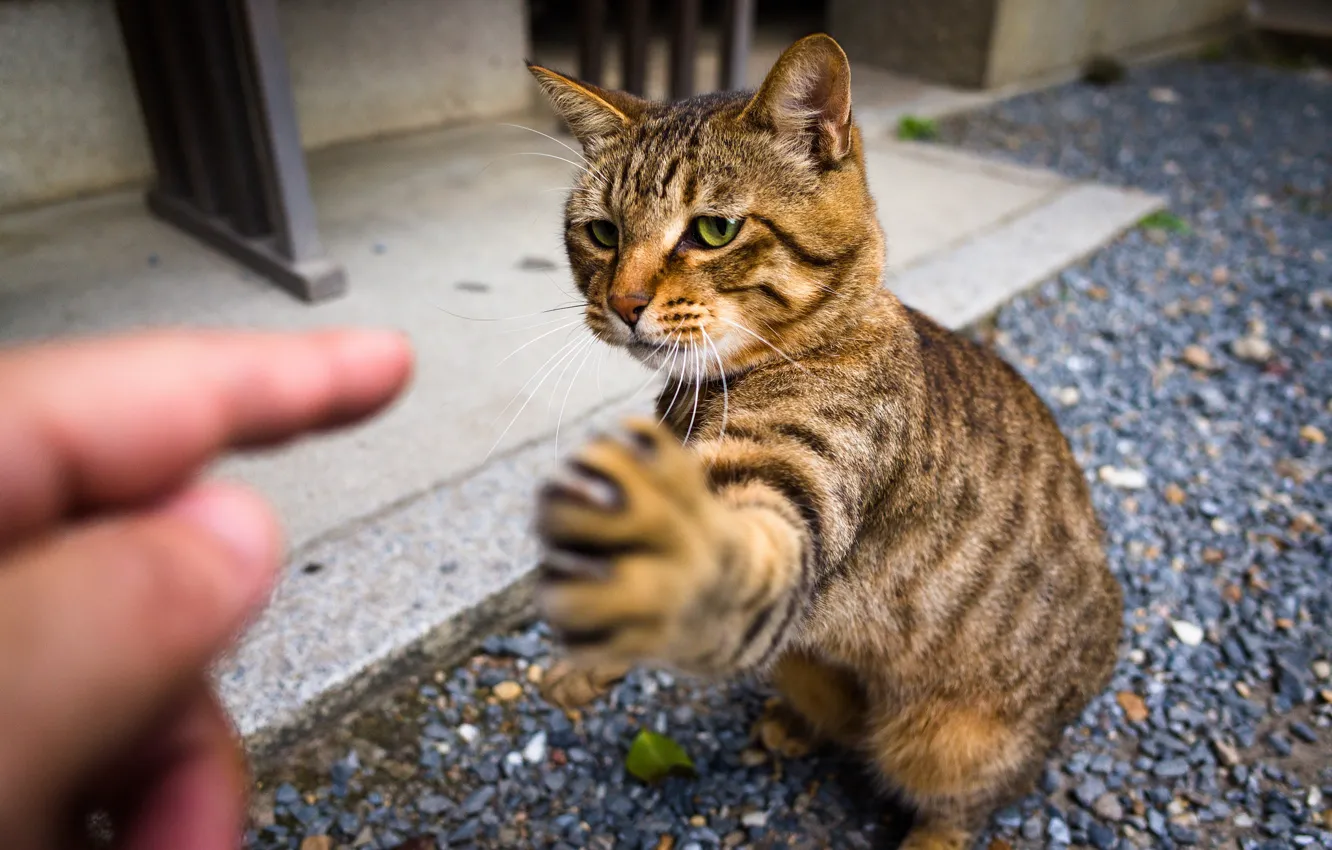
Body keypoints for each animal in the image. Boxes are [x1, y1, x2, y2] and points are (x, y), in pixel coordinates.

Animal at [524, 34, 1118, 850]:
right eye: (603, 233)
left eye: (713, 230)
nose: (622, 303)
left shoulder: (797, 491)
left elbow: (721, 564)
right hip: (807, 662)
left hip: (949, 744)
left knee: (968, 803)